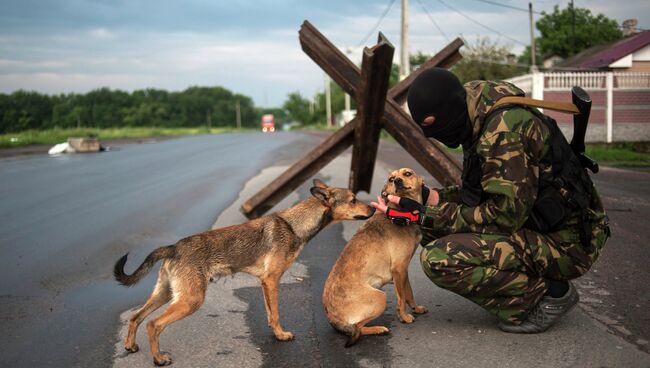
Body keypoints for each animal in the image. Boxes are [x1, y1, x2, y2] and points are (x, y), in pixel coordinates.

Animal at [114, 178, 372, 366]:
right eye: (353, 200)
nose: (372, 208)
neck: (294, 225)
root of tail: (173, 247)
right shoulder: (272, 280)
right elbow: (276, 314)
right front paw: (282, 335)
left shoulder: (265, 283)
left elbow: (270, 314)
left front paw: (276, 334)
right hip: (190, 300)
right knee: (153, 324)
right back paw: (158, 358)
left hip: (166, 293)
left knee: (136, 317)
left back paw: (130, 346)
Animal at [320, 168, 426, 346]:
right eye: (391, 179)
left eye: (408, 174)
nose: (397, 181)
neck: (400, 213)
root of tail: (332, 319)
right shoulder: (399, 269)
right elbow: (401, 299)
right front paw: (404, 317)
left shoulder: (404, 271)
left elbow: (409, 294)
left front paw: (416, 308)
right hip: (380, 297)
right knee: (357, 328)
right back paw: (379, 329)